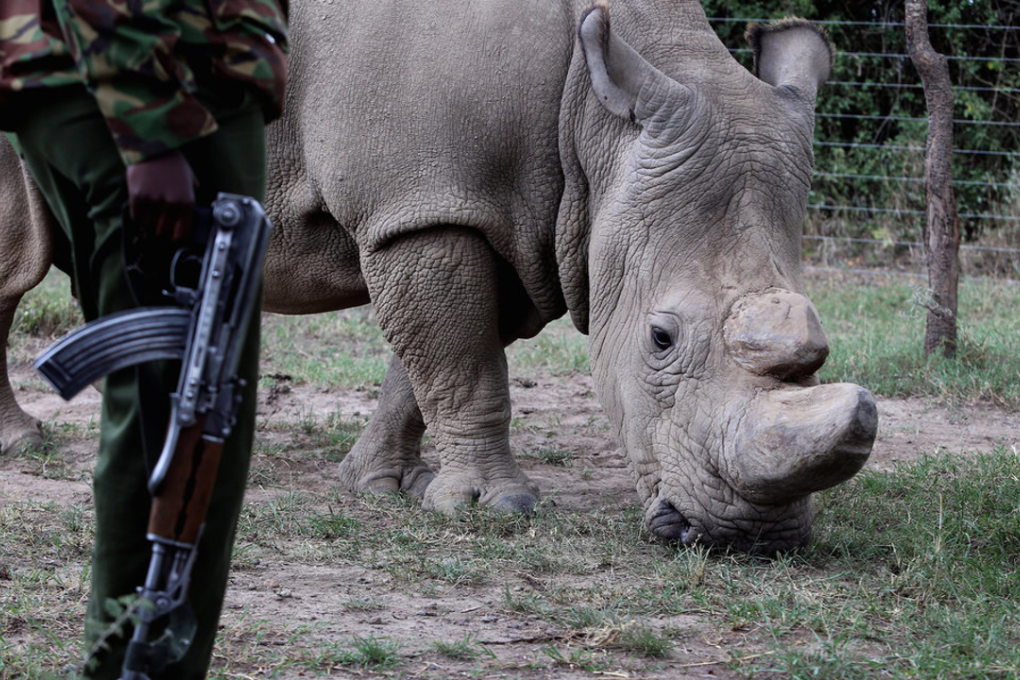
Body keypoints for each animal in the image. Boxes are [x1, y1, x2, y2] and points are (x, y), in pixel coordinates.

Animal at [1, 0, 877, 553]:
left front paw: (380, 485)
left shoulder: (496, 215)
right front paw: (493, 507)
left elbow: (430, 361)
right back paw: (22, 445)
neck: (598, 121)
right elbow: (462, 361)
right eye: (660, 339)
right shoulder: (426, 203)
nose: (747, 540)